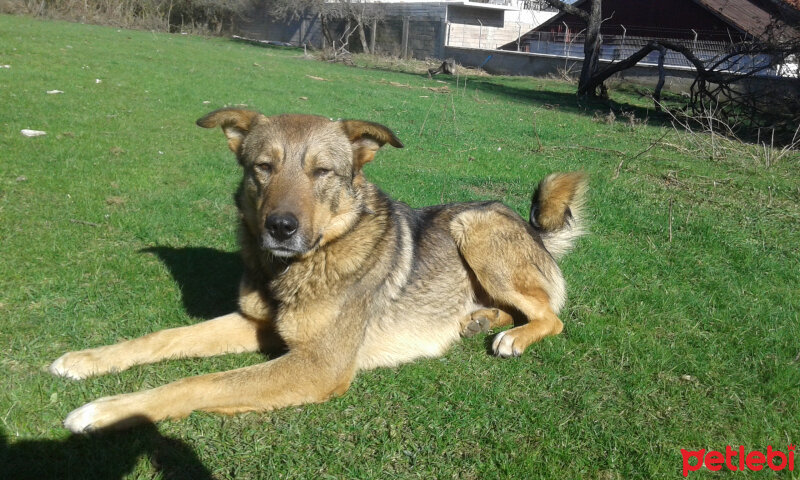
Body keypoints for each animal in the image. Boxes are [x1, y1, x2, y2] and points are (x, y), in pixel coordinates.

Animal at [50, 110, 588, 434]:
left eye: (322, 172)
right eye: (263, 167)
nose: (280, 227)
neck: (298, 266)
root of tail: (532, 229)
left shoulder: (318, 364)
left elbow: (202, 382)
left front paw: (106, 410)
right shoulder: (259, 325)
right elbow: (163, 337)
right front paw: (87, 359)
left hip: (473, 227)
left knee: (551, 315)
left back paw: (511, 336)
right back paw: (479, 321)